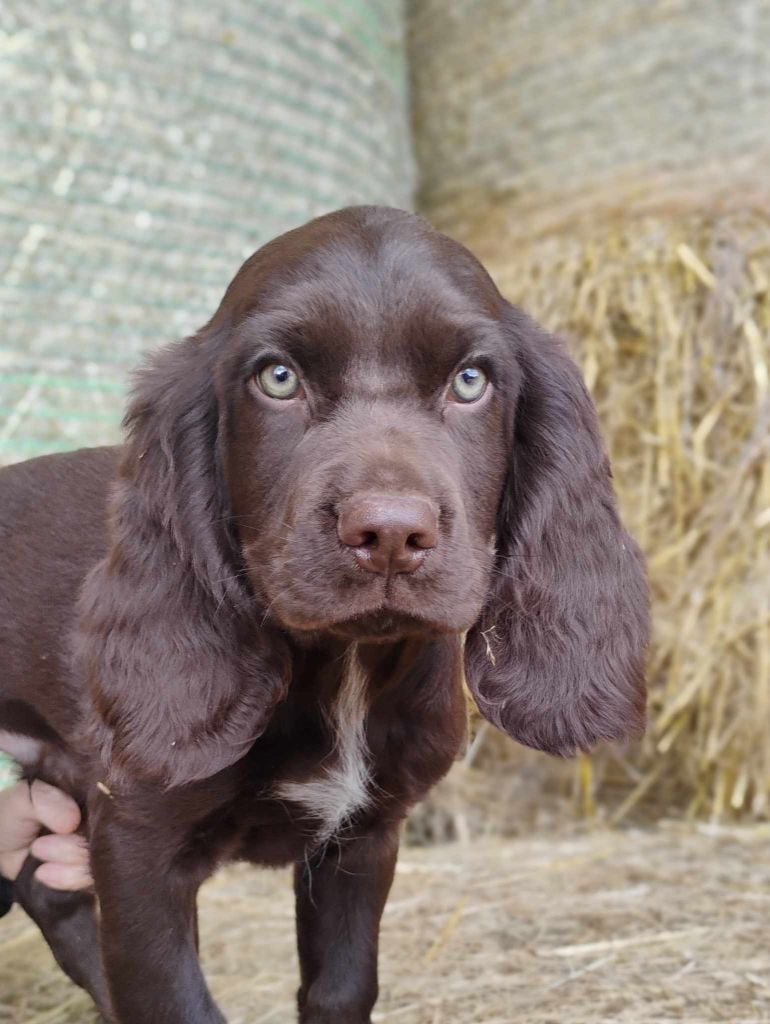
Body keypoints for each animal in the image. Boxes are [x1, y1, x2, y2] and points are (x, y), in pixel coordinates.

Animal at [0, 207, 651, 1024]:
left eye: (471, 381)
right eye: (277, 378)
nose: (391, 534)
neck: (345, 666)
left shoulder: (364, 836)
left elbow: (342, 987)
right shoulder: (138, 842)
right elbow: (173, 998)